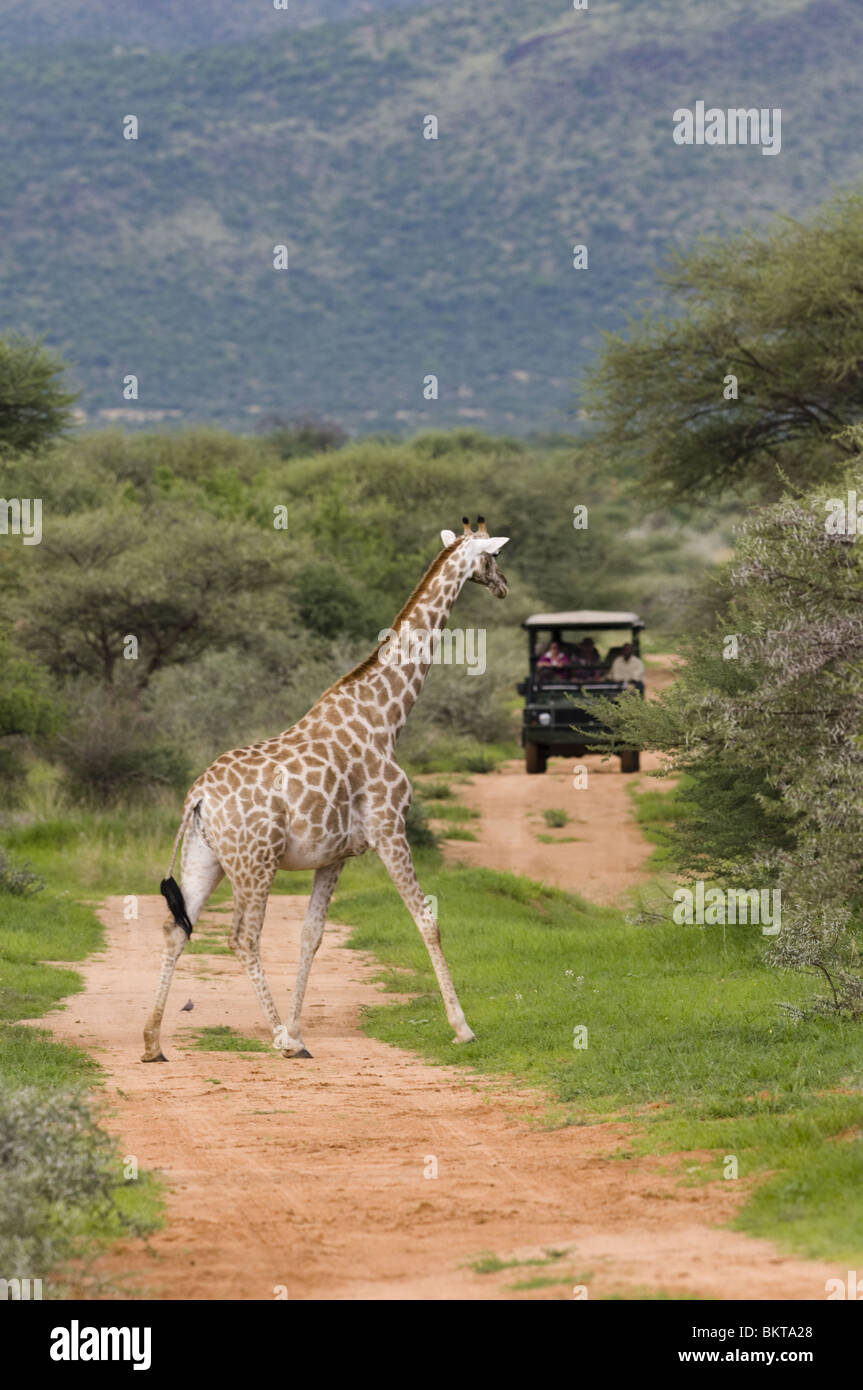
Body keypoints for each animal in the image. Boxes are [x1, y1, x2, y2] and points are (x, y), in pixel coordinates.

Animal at [139, 517, 505, 1056]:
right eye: (494, 557)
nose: (503, 587)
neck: (387, 716)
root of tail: (198, 797)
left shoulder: (335, 855)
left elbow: (311, 934)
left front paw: (298, 1025)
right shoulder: (389, 830)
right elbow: (427, 919)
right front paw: (462, 1027)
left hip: (204, 858)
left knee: (175, 929)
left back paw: (152, 1042)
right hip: (255, 862)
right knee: (241, 937)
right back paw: (281, 1042)